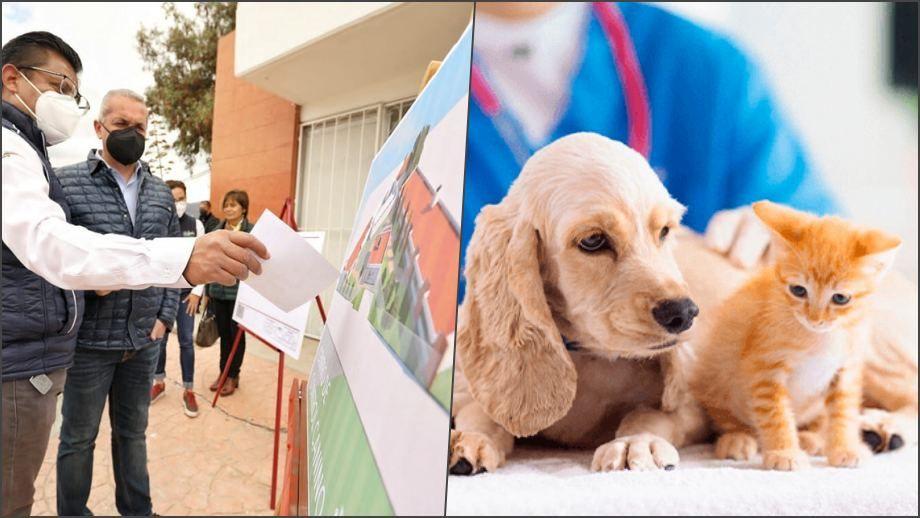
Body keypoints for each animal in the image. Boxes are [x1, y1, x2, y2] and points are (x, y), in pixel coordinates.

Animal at [692, 201, 904, 474]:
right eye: (798, 290)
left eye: (840, 298)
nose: (815, 319)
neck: (820, 339)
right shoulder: (764, 369)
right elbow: (776, 414)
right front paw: (785, 452)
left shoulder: (846, 369)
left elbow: (843, 411)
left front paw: (845, 447)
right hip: (717, 377)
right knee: (725, 415)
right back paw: (737, 438)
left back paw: (812, 438)